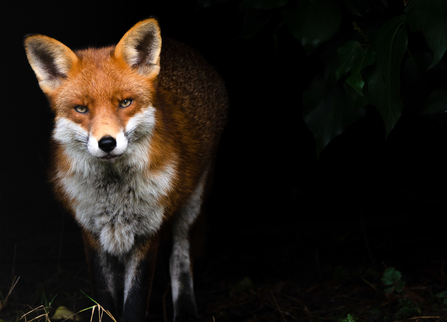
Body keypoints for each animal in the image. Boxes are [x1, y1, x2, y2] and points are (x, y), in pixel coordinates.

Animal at [23, 18, 228, 322]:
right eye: (81, 109)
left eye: (125, 102)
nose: (107, 143)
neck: (115, 196)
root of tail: (180, 46)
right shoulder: (91, 232)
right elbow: (105, 298)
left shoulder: (148, 231)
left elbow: (135, 301)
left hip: (192, 202)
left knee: (180, 256)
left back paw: (186, 309)